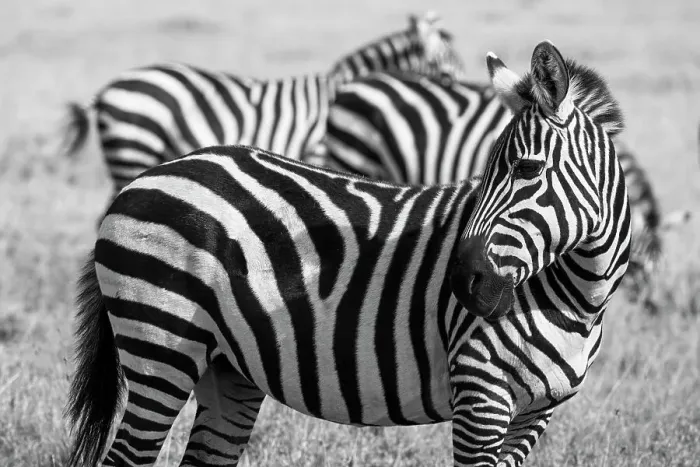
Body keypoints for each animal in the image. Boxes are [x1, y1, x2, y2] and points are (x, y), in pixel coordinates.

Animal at [65, 41, 630, 466]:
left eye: (527, 170)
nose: (461, 283)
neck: (579, 299)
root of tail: (147, 177)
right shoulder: (480, 393)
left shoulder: (536, 412)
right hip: (160, 346)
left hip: (226, 366)